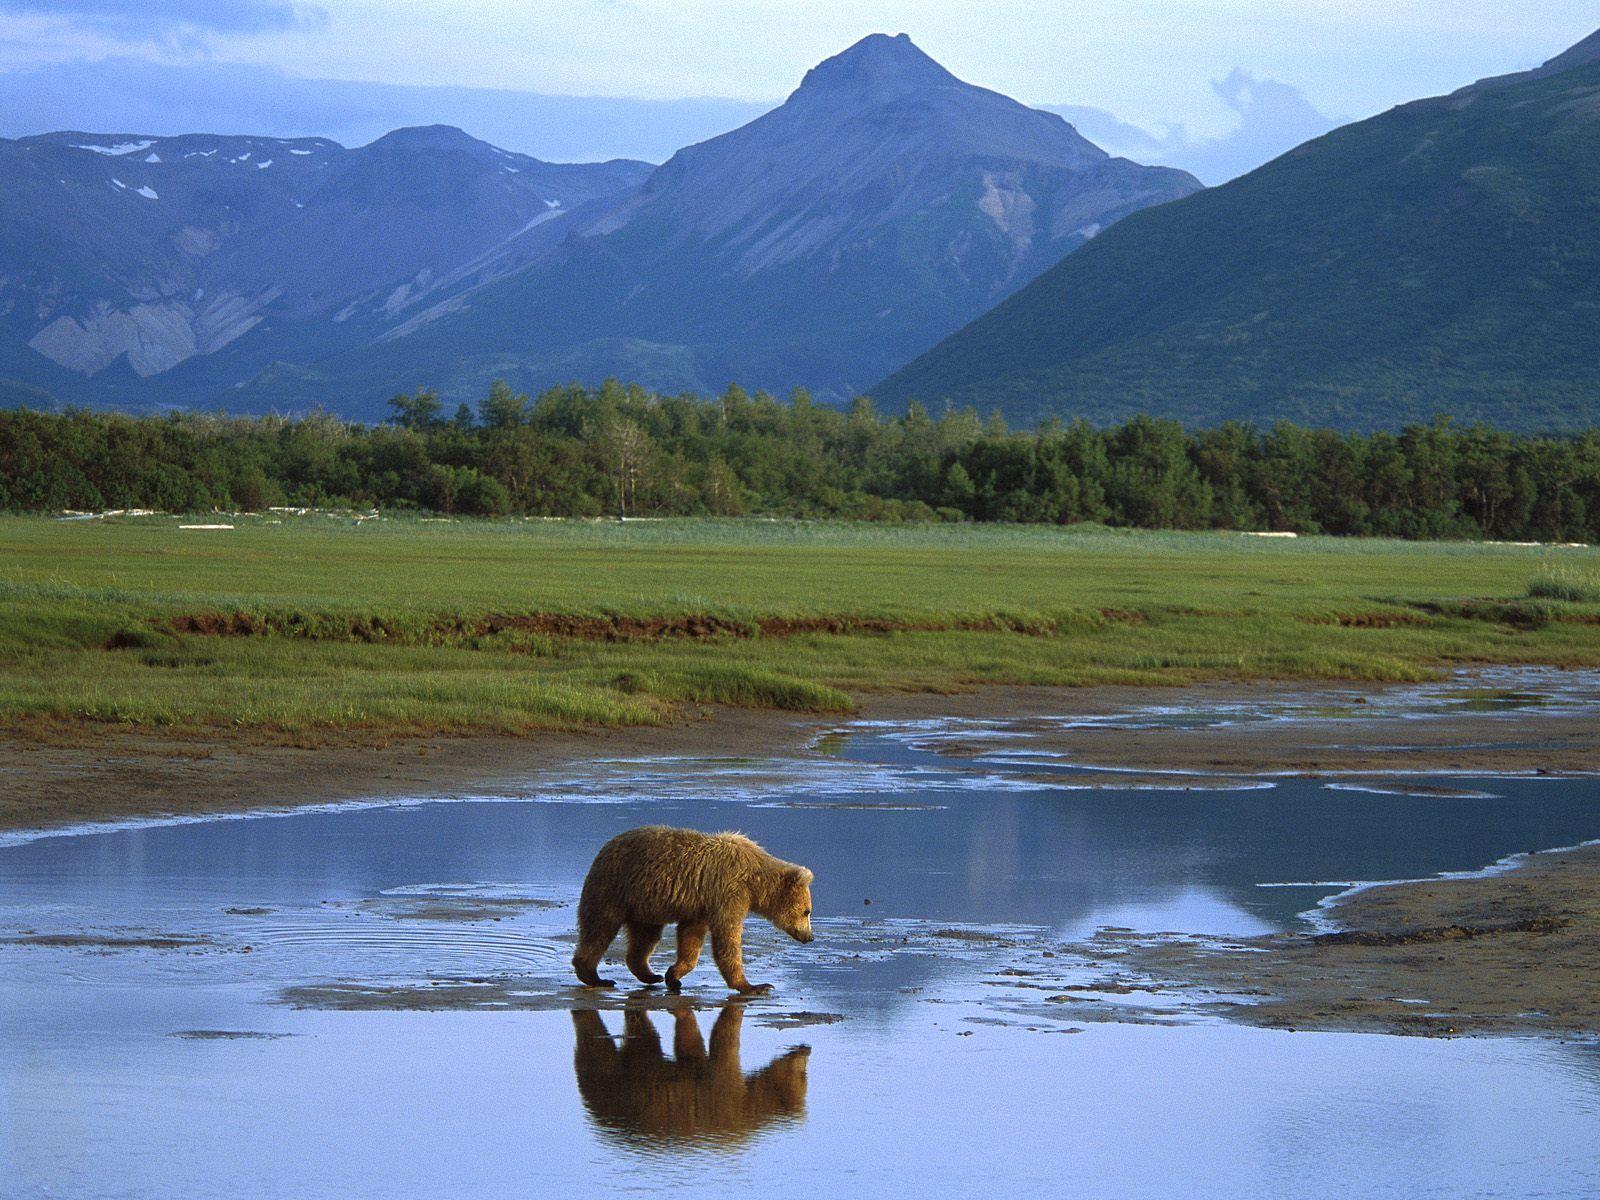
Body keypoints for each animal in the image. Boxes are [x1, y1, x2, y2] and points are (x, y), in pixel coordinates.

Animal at [569, 825, 812, 998]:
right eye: (807, 911)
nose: (809, 937)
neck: (756, 882)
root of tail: (605, 847)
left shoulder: (702, 905)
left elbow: (691, 939)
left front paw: (673, 975)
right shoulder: (729, 893)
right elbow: (727, 939)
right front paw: (755, 986)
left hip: (643, 904)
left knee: (645, 938)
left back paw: (651, 975)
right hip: (613, 888)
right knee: (599, 929)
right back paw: (595, 977)